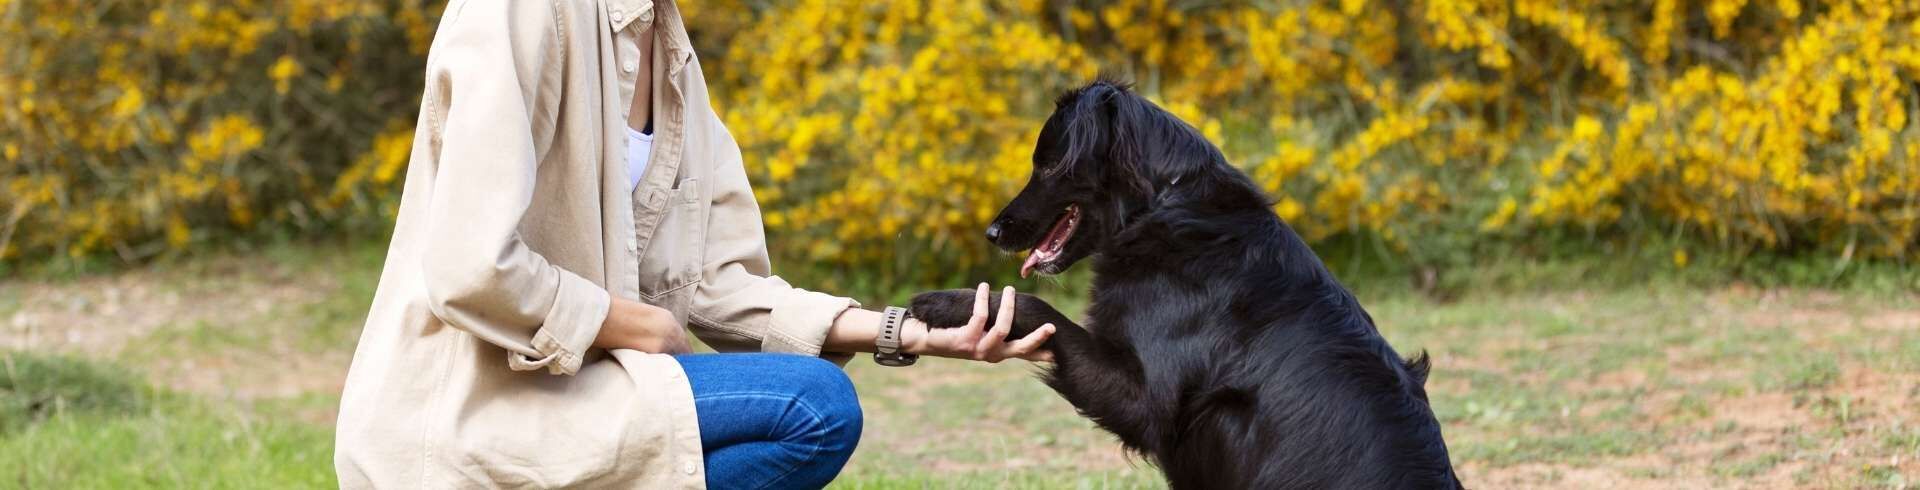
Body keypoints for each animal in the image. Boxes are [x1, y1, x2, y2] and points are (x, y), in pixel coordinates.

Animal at [906, 78, 1459, 488]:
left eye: (1048, 164)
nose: (992, 232)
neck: (1159, 207)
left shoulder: (1147, 404)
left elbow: (1040, 308)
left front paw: (946, 303)